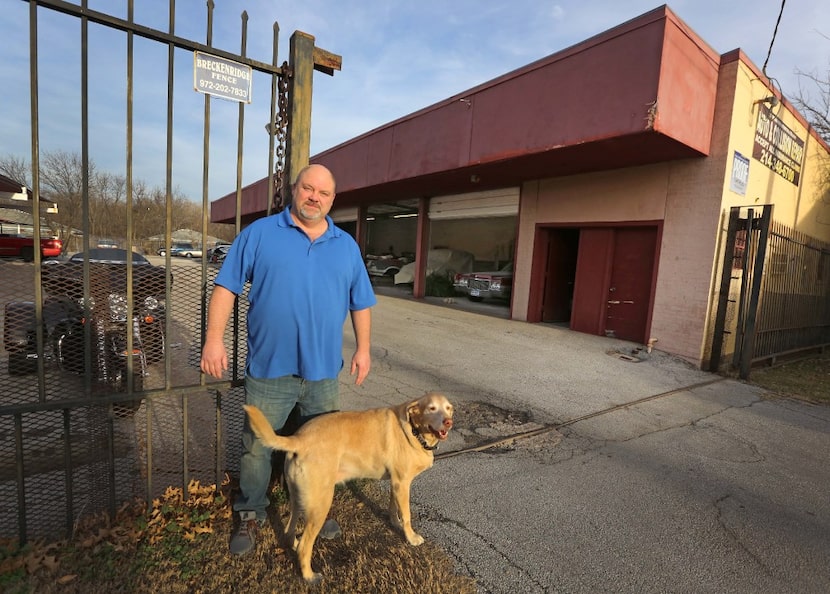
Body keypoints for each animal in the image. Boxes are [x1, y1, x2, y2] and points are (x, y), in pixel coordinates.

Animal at [244, 390, 458, 580]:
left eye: (449, 409)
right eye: (431, 408)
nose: (448, 422)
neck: (413, 429)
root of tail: (299, 439)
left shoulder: (396, 483)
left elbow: (393, 508)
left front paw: (394, 523)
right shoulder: (403, 483)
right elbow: (406, 515)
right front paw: (411, 537)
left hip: (298, 497)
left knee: (289, 530)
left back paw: (294, 545)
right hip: (320, 504)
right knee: (306, 546)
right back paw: (309, 576)